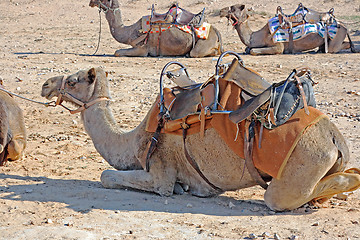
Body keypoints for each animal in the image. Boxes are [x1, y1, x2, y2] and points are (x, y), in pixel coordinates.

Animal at [40, 67, 360, 210]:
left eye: (73, 81)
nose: (45, 84)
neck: (135, 140)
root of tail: (337, 142)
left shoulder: (161, 172)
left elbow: (107, 176)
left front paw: (180, 189)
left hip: (302, 165)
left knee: (279, 197)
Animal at [88, 0, 222, 57]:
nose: (90, 2)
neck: (130, 32)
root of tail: (216, 31)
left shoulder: (142, 49)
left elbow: (117, 53)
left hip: (203, 43)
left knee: (195, 52)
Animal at [218, 4, 356, 55]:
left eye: (233, 8)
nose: (221, 11)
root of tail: (342, 24)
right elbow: (248, 48)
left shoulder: (278, 46)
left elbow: (252, 51)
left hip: (337, 37)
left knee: (340, 46)